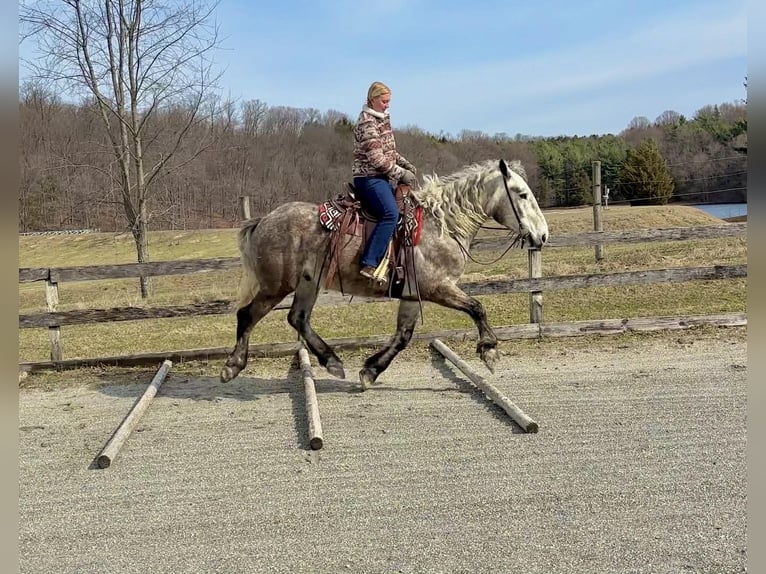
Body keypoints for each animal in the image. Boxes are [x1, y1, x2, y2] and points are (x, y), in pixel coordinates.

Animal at [220, 159, 549, 389]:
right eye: (522, 194)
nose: (543, 235)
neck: (442, 224)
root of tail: (263, 220)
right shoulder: (437, 287)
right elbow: (477, 308)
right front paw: (489, 351)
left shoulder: (412, 294)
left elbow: (403, 335)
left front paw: (370, 371)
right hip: (276, 285)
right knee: (248, 315)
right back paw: (233, 366)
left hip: (307, 284)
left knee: (297, 318)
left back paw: (332, 362)